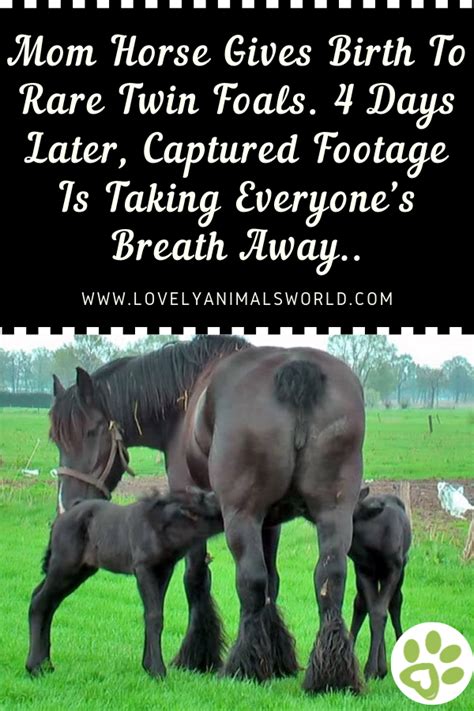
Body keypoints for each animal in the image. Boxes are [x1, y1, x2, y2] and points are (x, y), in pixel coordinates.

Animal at [26, 490, 223, 680]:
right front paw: (158, 671)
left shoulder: (164, 571)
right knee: (40, 602)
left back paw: (46, 664)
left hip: (79, 571)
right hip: (64, 566)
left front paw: (148, 665)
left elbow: (152, 613)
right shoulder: (144, 568)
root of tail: (60, 519)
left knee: (47, 602)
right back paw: (34, 667)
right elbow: (154, 616)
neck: (161, 525)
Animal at [348, 486, 412, 680]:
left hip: (400, 569)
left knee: (395, 602)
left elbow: (382, 611)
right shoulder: (363, 570)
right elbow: (375, 611)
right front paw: (376, 668)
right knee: (362, 604)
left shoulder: (394, 569)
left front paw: (371, 669)